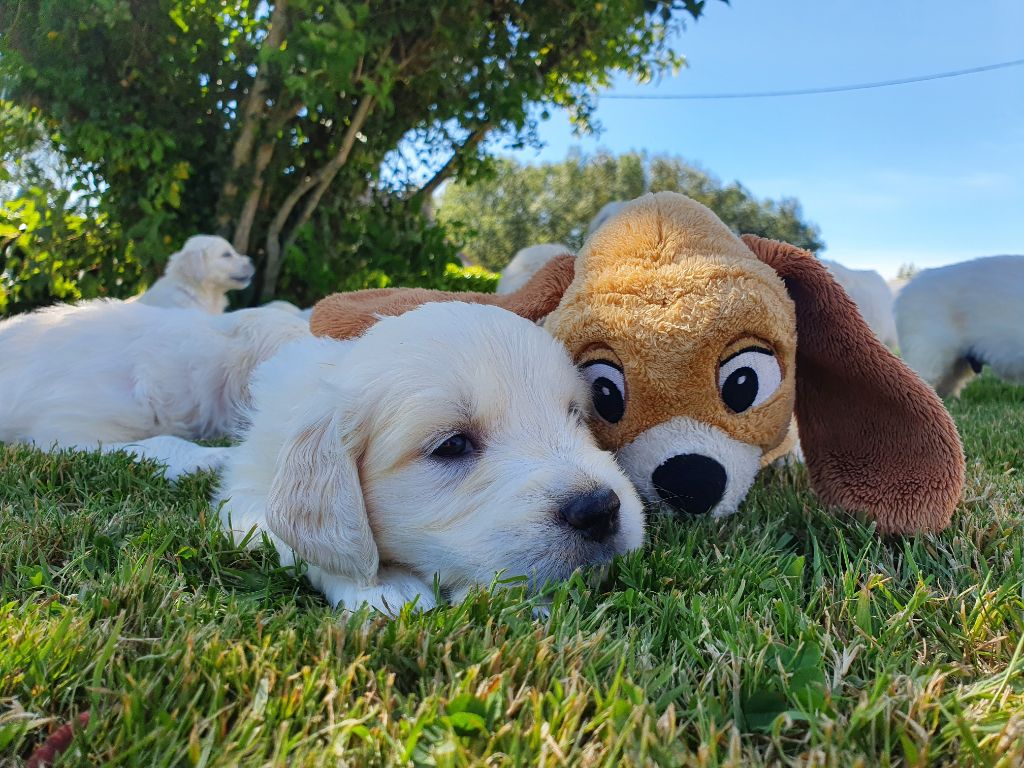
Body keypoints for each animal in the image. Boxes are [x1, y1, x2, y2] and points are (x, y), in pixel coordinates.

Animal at [205, 301, 638, 614]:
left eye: (575, 415)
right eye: (452, 445)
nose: (600, 509)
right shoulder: (243, 498)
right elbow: (292, 541)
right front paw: (385, 585)